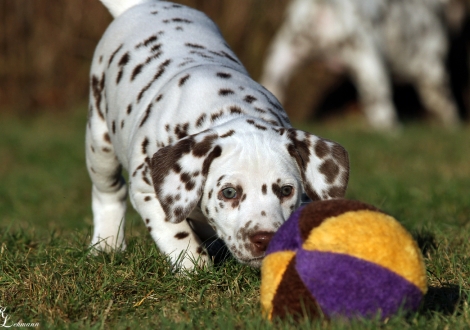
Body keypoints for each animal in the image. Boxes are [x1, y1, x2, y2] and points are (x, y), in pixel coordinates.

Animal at [87, 0, 348, 270]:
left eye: (286, 190)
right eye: (229, 192)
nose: (264, 239)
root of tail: (142, 5)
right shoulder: (146, 188)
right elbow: (177, 233)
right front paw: (194, 267)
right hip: (100, 143)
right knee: (109, 191)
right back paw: (107, 243)